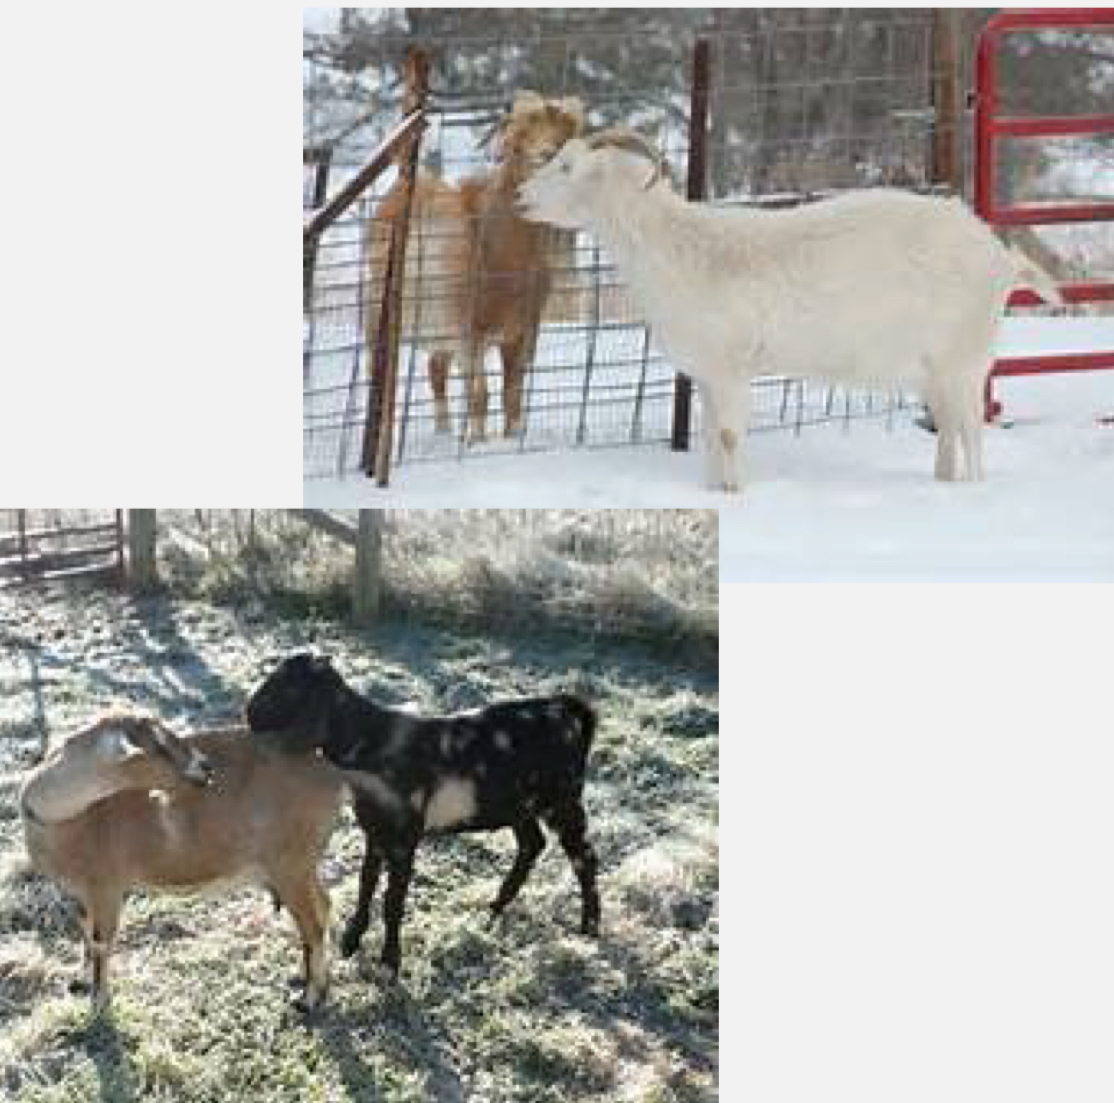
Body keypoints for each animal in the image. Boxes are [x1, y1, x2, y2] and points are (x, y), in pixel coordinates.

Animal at [19, 712, 344, 1012]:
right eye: (159, 745)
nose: (206, 766)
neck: (65, 820)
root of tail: (333, 776)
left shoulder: (106, 888)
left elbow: (101, 941)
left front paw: (98, 1003)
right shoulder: (82, 893)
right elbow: (86, 931)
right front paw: (81, 982)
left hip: (290, 864)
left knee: (312, 926)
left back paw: (309, 998)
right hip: (301, 864)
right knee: (323, 904)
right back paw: (308, 978)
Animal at [245, 653, 601, 978]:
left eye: (288, 686)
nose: (249, 713)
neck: (371, 740)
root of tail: (570, 710)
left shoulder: (405, 839)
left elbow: (393, 901)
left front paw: (390, 962)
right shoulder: (375, 831)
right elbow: (366, 883)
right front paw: (351, 939)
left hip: (563, 799)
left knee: (584, 857)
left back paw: (589, 927)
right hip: (519, 803)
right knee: (532, 843)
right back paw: (497, 906)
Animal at [370, 90, 584, 443]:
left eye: (563, 130)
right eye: (525, 129)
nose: (548, 154)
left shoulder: (521, 332)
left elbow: (512, 393)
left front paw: (511, 437)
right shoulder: (470, 335)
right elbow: (480, 396)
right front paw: (477, 442)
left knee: (436, 373)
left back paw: (444, 432)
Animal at [518, 129, 1064, 490]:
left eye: (566, 167)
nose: (520, 197)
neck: (682, 247)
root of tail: (1000, 258)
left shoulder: (732, 368)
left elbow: (730, 437)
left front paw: (736, 494)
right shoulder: (709, 375)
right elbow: (711, 439)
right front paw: (715, 491)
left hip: (964, 362)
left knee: (971, 434)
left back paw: (970, 492)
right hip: (935, 372)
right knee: (949, 432)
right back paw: (942, 483)